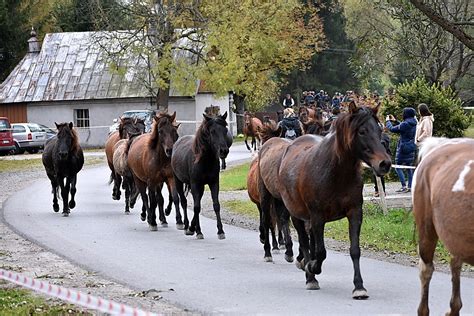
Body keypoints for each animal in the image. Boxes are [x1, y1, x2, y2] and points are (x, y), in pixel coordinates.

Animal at [274, 103, 392, 296]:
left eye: (379, 129)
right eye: (362, 131)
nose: (385, 164)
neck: (336, 172)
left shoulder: (355, 213)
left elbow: (354, 250)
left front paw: (359, 287)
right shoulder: (318, 217)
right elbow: (320, 252)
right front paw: (312, 267)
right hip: (297, 215)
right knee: (305, 242)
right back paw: (310, 276)